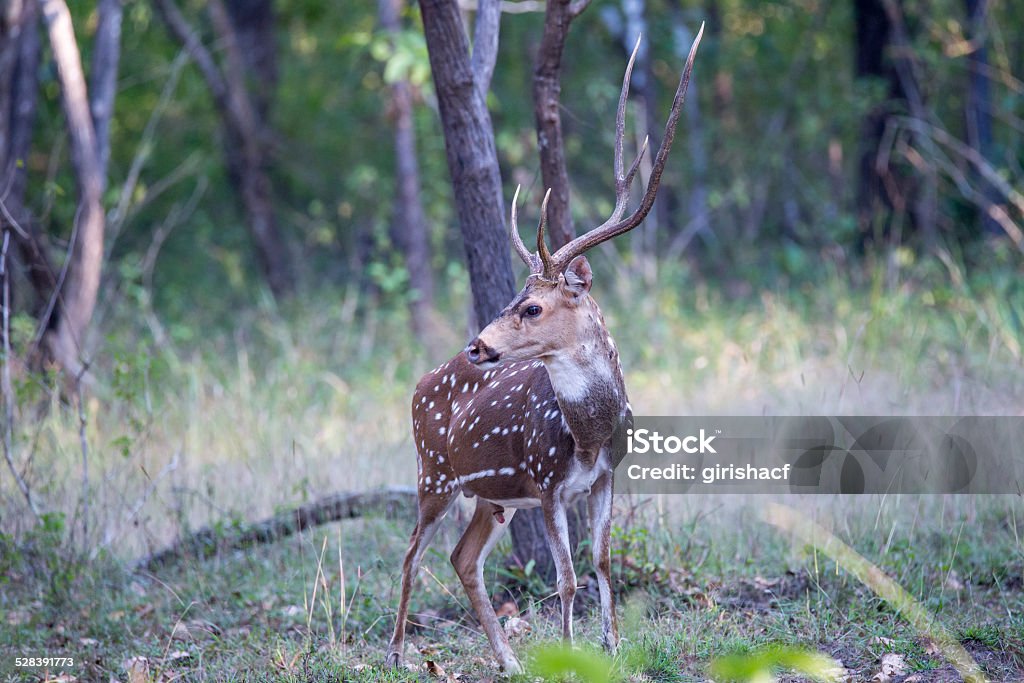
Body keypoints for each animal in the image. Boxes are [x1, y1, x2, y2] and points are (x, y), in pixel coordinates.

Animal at [385, 29, 704, 675]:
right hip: (434, 472)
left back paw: (506, 660)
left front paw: (612, 648)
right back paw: (399, 653)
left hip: (492, 495)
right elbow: (565, 578)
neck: (586, 433)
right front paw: (570, 653)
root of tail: (419, 384)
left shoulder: (604, 478)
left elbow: (600, 564)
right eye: (515, 295)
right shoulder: (547, 480)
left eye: (530, 306)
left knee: (461, 558)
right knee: (410, 556)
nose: (478, 345)